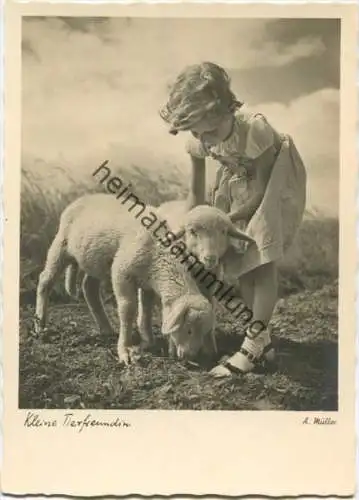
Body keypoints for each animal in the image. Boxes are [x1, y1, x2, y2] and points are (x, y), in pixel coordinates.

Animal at [35, 193, 219, 366]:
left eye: (204, 332)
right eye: (189, 330)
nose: (191, 357)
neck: (161, 256)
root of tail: (83, 198)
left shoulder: (147, 283)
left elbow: (146, 311)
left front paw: (147, 341)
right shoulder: (121, 272)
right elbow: (128, 310)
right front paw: (125, 351)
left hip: (95, 261)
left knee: (89, 287)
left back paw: (106, 328)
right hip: (61, 244)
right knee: (45, 279)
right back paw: (40, 323)